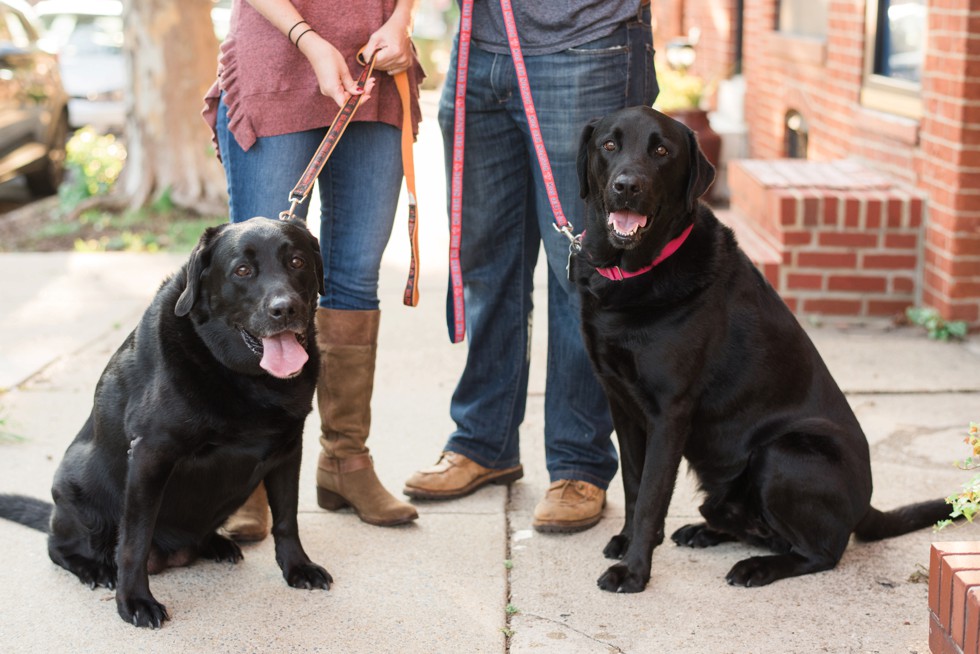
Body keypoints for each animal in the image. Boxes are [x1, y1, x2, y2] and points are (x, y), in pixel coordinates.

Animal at [0, 218, 332, 628]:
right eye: (242, 270)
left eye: (297, 262)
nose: (285, 309)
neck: (245, 378)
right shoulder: (150, 456)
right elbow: (134, 542)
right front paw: (134, 601)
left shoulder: (288, 449)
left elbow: (287, 518)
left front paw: (297, 567)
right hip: (75, 483)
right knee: (58, 546)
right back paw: (96, 569)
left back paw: (216, 544)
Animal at [576, 106, 948, 596]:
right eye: (609, 145)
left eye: (661, 151)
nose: (627, 185)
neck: (634, 275)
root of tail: (866, 505)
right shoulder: (620, 401)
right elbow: (634, 484)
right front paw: (626, 542)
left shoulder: (669, 413)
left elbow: (652, 496)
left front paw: (634, 571)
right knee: (754, 525)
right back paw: (705, 531)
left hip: (784, 453)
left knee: (822, 553)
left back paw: (756, 567)